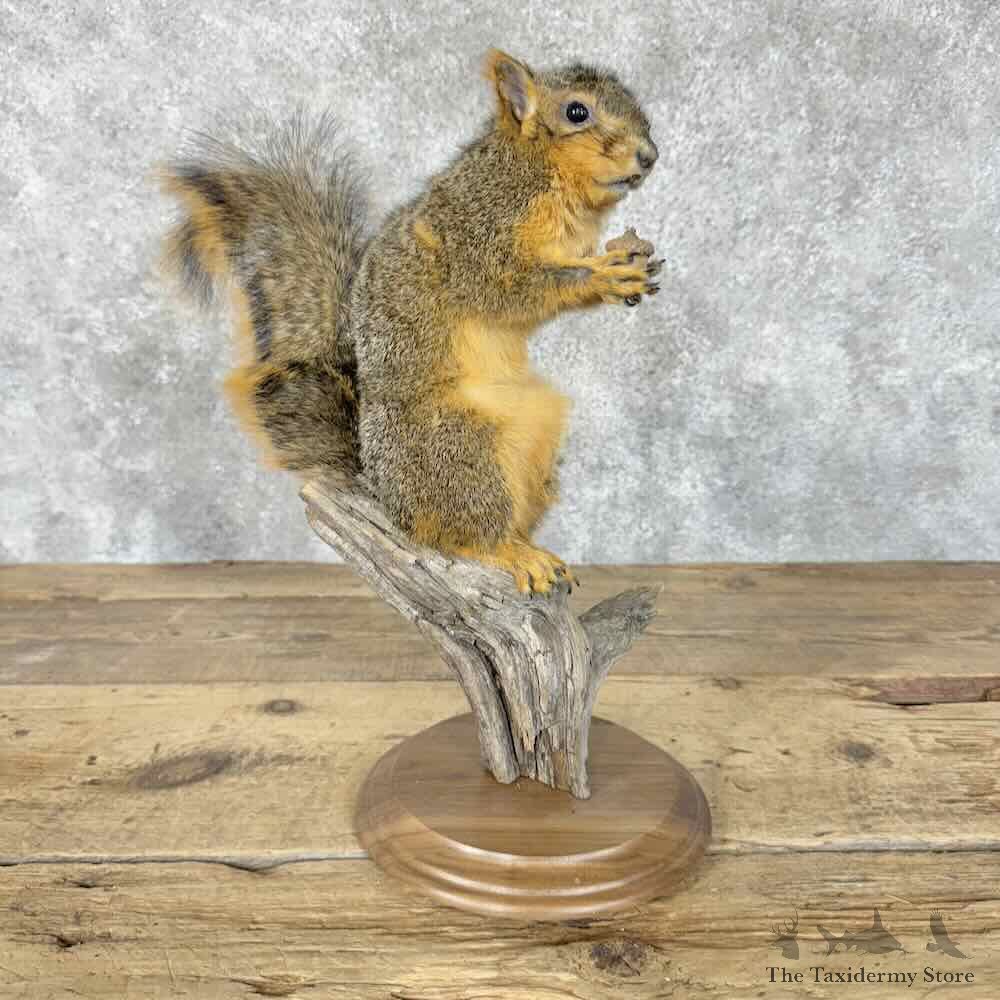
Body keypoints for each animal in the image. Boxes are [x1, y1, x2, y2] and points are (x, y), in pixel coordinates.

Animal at [160, 49, 661, 595]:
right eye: (576, 113)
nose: (649, 156)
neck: (540, 174)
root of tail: (385, 493)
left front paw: (629, 255)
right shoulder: (476, 234)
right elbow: (511, 288)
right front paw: (604, 276)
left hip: (538, 434)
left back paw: (532, 548)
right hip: (458, 446)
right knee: (462, 533)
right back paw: (511, 554)